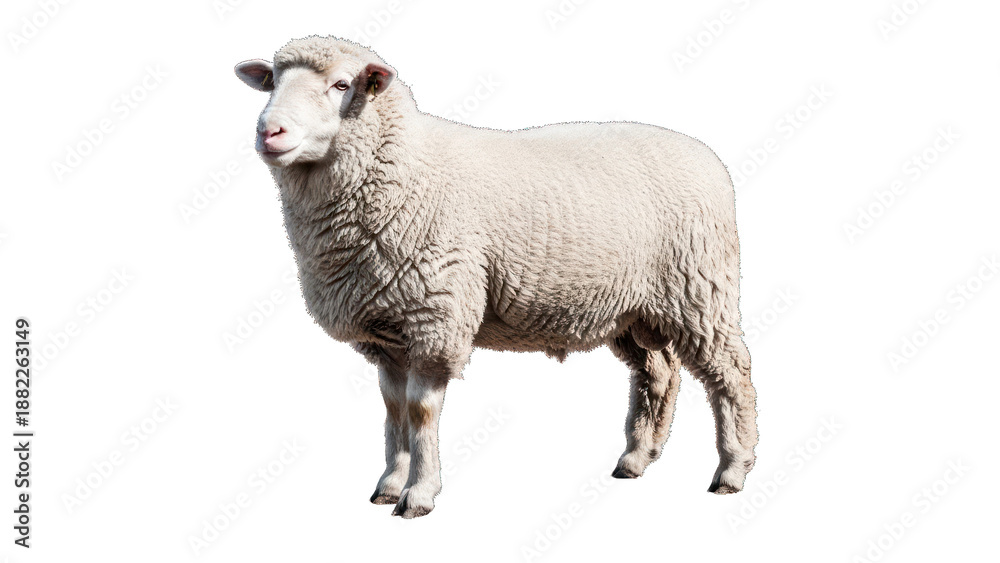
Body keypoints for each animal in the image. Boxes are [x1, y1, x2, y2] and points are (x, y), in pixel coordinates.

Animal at [234, 36, 758, 518]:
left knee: (731, 374)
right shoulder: (389, 331)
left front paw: (418, 494)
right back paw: (636, 458)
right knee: (659, 373)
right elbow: (393, 409)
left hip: (700, 290)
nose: (268, 131)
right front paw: (389, 484)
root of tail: (706, 155)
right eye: (273, 83)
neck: (405, 168)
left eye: (342, 85)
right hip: (635, 308)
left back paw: (732, 469)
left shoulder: (436, 317)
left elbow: (420, 411)